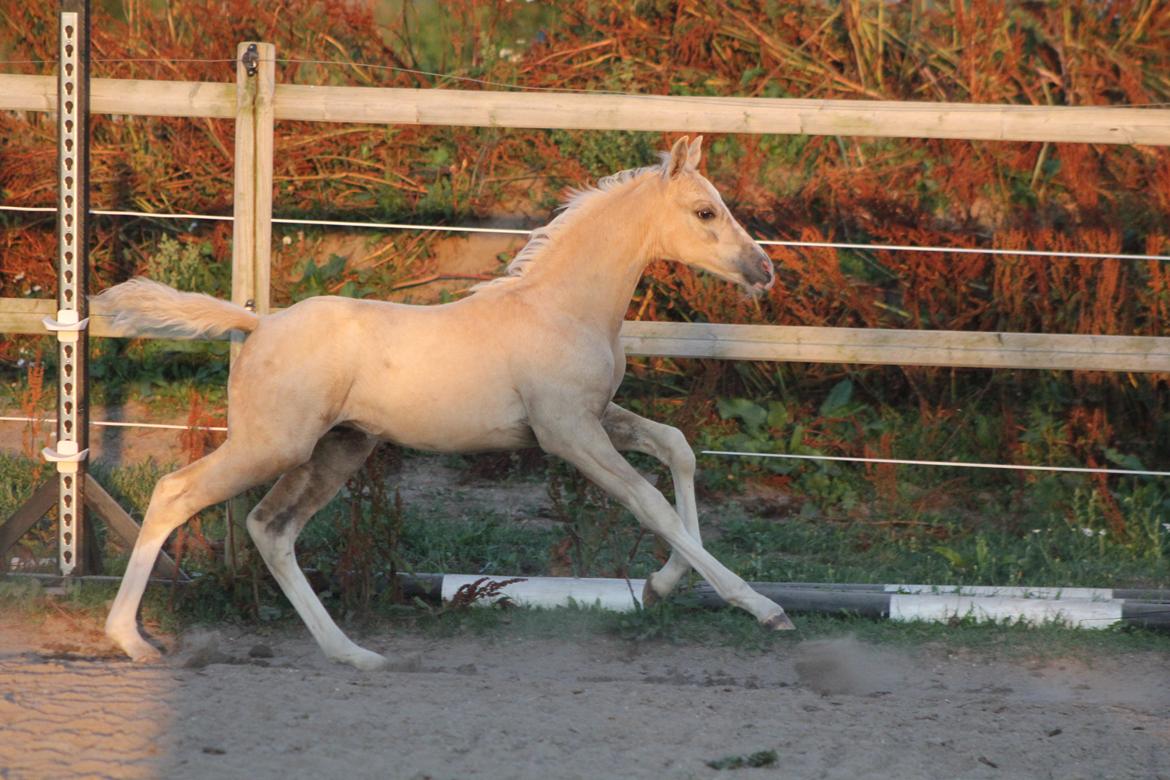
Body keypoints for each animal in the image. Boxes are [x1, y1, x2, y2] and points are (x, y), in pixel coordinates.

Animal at [98, 135, 795, 673]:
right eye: (704, 212)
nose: (763, 270)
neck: (561, 307)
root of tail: (258, 325)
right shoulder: (568, 432)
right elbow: (649, 502)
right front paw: (764, 609)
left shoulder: (595, 418)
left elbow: (677, 449)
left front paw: (664, 583)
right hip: (272, 444)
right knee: (176, 493)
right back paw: (131, 640)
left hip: (337, 450)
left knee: (271, 528)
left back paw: (353, 653)